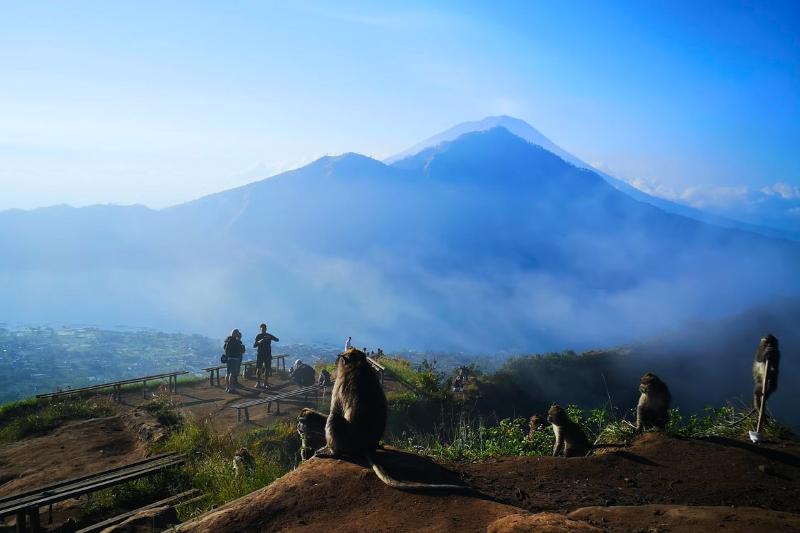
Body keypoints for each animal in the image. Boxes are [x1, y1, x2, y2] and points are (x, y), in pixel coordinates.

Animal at [296, 350, 468, 490]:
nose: (337, 361)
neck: (359, 366)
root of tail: (367, 446)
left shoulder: (340, 383)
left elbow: (334, 411)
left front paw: (309, 419)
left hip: (348, 442)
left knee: (334, 418)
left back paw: (333, 452)